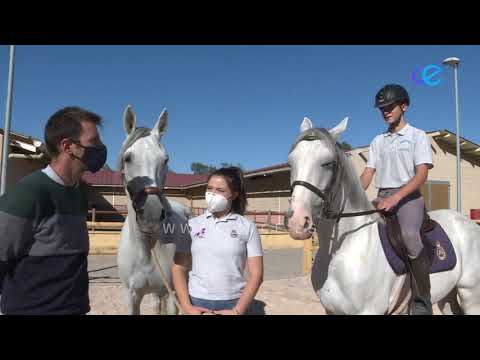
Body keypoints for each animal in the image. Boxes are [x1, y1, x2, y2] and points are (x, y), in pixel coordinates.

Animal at [286, 116, 480, 314]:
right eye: (291, 162)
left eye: (328, 163)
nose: (297, 222)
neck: (342, 251)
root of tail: (468, 223)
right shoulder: (330, 310)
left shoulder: (370, 310)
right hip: (448, 296)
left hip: (471, 295)